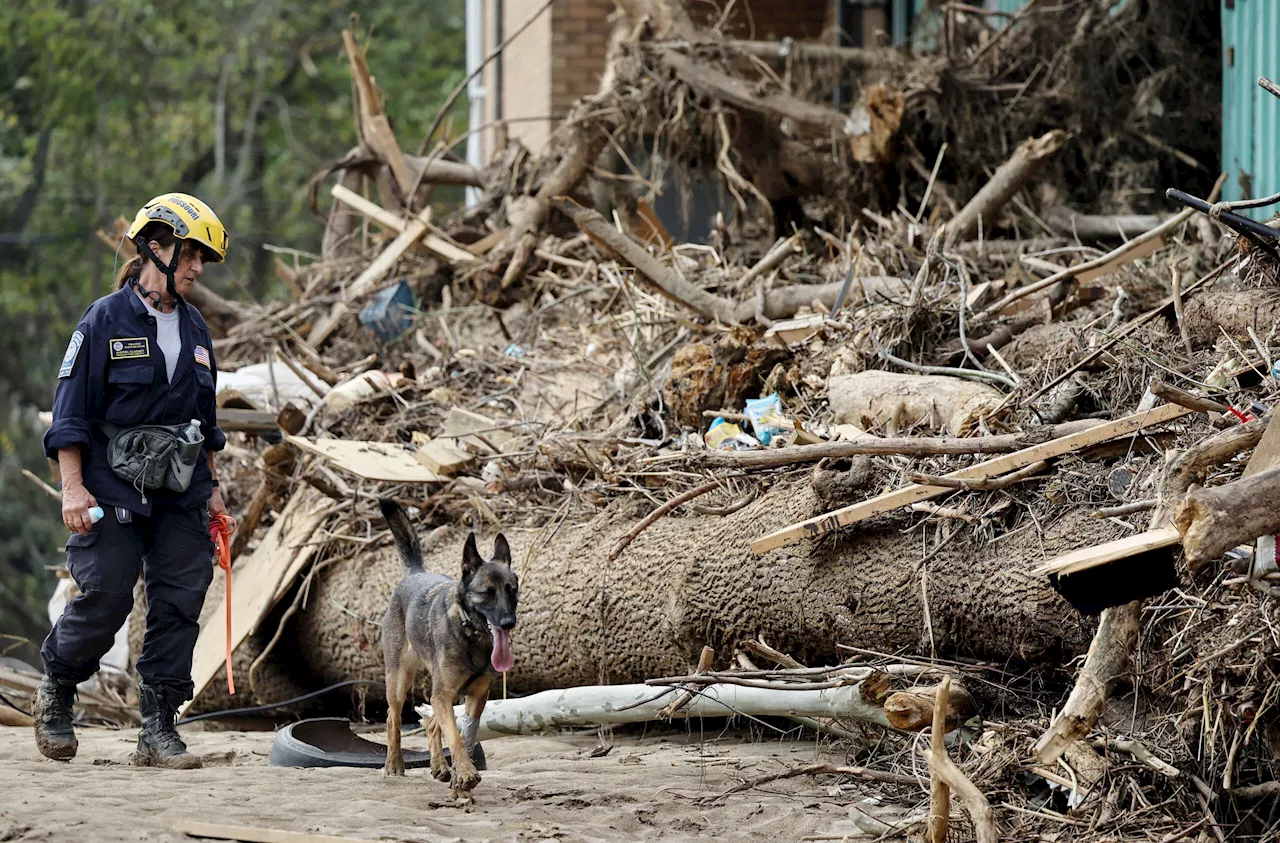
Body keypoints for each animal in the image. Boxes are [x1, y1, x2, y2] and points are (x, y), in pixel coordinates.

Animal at [376, 498, 517, 803]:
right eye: (487, 593)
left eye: (512, 589)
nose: (508, 623)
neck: (471, 634)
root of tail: (416, 573)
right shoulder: (442, 694)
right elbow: (454, 736)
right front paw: (464, 774)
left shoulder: (474, 696)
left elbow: (464, 734)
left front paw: (458, 775)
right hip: (400, 679)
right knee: (393, 718)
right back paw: (394, 764)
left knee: (431, 724)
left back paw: (440, 767)